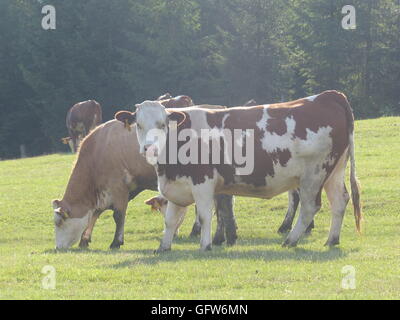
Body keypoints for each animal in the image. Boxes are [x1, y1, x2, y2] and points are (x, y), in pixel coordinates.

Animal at [51, 101, 236, 249]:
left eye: (59, 222)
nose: (58, 247)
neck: (98, 149)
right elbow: (95, 214)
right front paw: (85, 239)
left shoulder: (118, 187)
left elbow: (118, 215)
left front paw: (116, 241)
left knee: (220, 206)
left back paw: (218, 236)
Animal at [115, 90, 362, 252]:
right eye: (138, 125)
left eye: (163, 124)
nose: (150, 147)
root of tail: (328, 96)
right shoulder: (175, 184)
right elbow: (170, 220)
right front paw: (164, 247)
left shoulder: (203, 183)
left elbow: (204, 215)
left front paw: (205, 245)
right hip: (334, 172)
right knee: (340, 201)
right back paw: (332, 240)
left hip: (314, 174)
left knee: (310, 206)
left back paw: (290, 240)